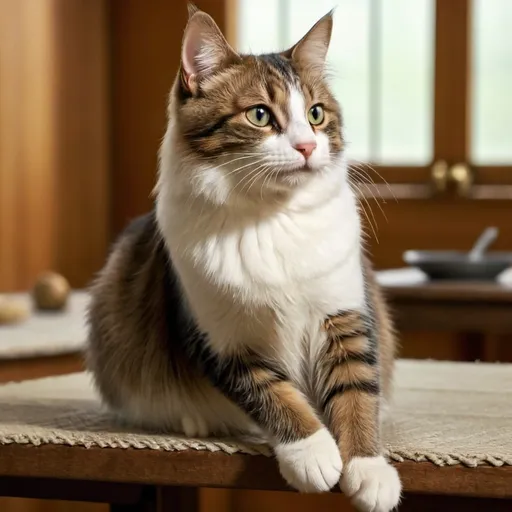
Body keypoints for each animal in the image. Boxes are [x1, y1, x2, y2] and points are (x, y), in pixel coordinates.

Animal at [86, 5, 402, 512]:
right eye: (259, 116)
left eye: (315, 114)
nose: (307, 147)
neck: (270, 220)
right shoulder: (223, 340)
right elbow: (275, 396)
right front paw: (312, 453)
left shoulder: (346, 316)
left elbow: (357, 392)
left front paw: (368, 470)